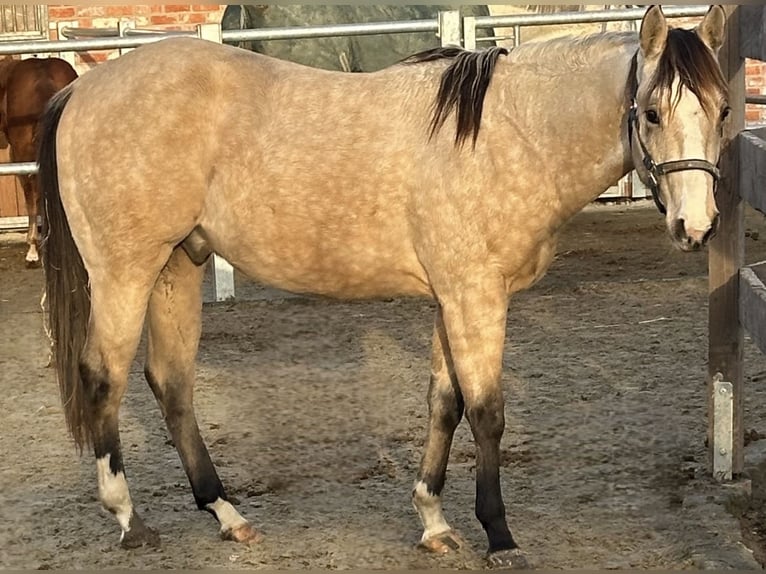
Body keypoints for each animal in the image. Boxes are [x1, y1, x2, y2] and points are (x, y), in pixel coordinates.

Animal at [37, 5, 732, 572]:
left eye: (723, 111)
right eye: (651, 112)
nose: (695, 226)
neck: (506, 134)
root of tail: (81, 86)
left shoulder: (452, 299)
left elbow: (444, 404)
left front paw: (433, 522)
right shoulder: (477, 298)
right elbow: (487, 412)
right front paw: (499, 536)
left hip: (177, 267)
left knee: (171, 383)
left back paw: (228, 515)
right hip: (125, 272)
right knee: (103, 376)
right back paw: (129, 519)